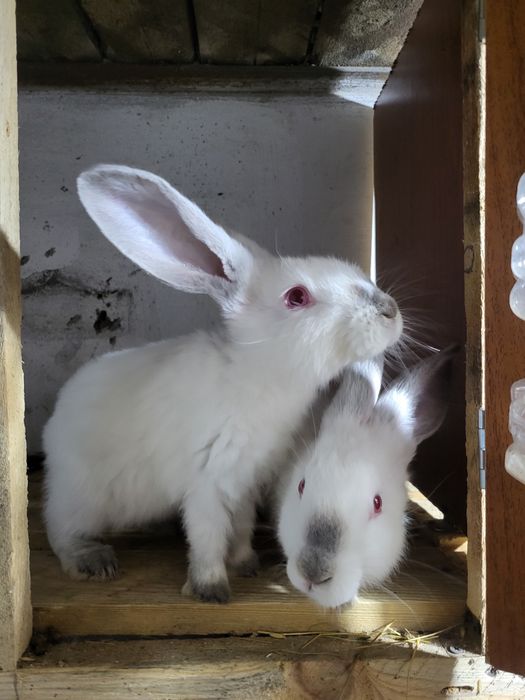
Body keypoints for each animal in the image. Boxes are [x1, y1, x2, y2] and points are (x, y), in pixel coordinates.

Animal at [43, 164, 403, 604]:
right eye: (297, 297)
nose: (390, 310)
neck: (260, 376)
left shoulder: (247, 483)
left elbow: (242, 527)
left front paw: (246, 563)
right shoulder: (207, 485)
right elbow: (208, 538)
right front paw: (212, 589)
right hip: (82, 497)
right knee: (59, 529)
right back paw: (92, 560)